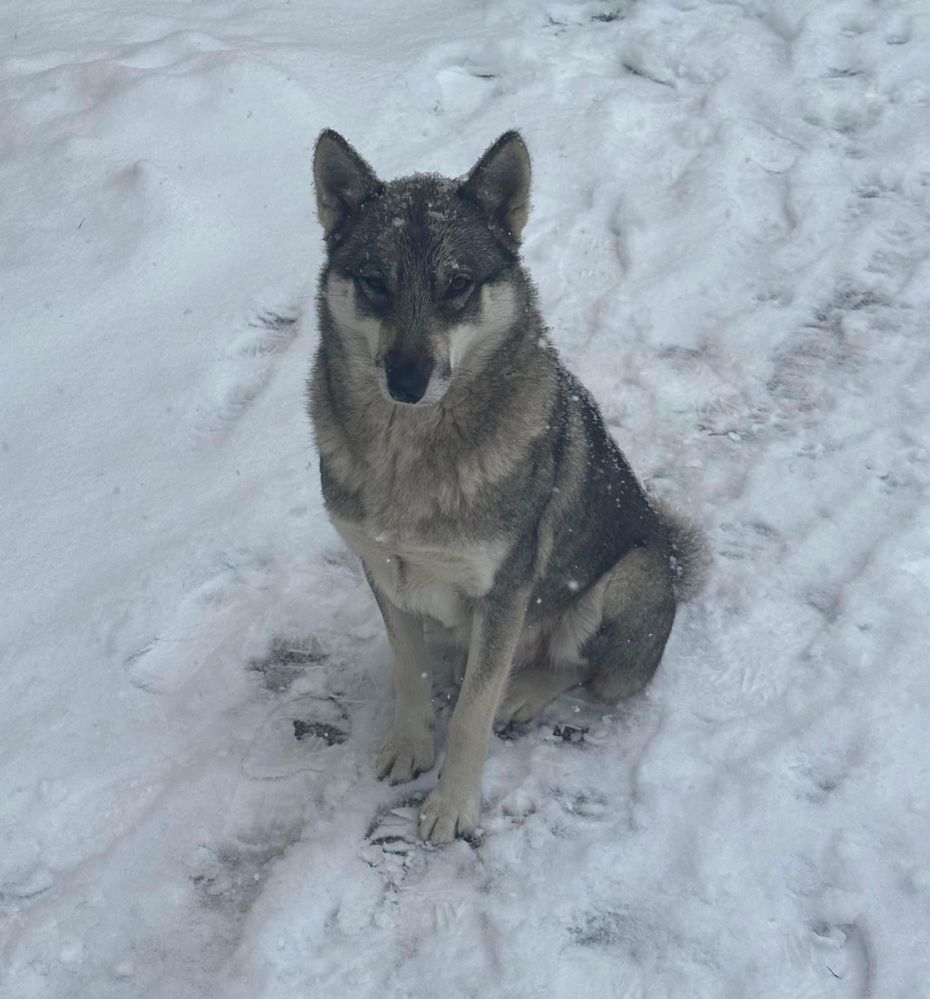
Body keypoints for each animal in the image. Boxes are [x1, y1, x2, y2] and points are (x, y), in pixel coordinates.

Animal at [306, 127, 704, 844]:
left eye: (458, 285)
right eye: (375, 282)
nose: (406, 380)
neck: (410, 454)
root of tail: (674, 566)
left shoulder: (503, 591)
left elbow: (470, 715)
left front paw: (452, 805)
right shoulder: (384, 572)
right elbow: (409, 672)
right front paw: (411, 743)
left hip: (623, 580)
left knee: (579, 670)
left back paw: (521, 693)